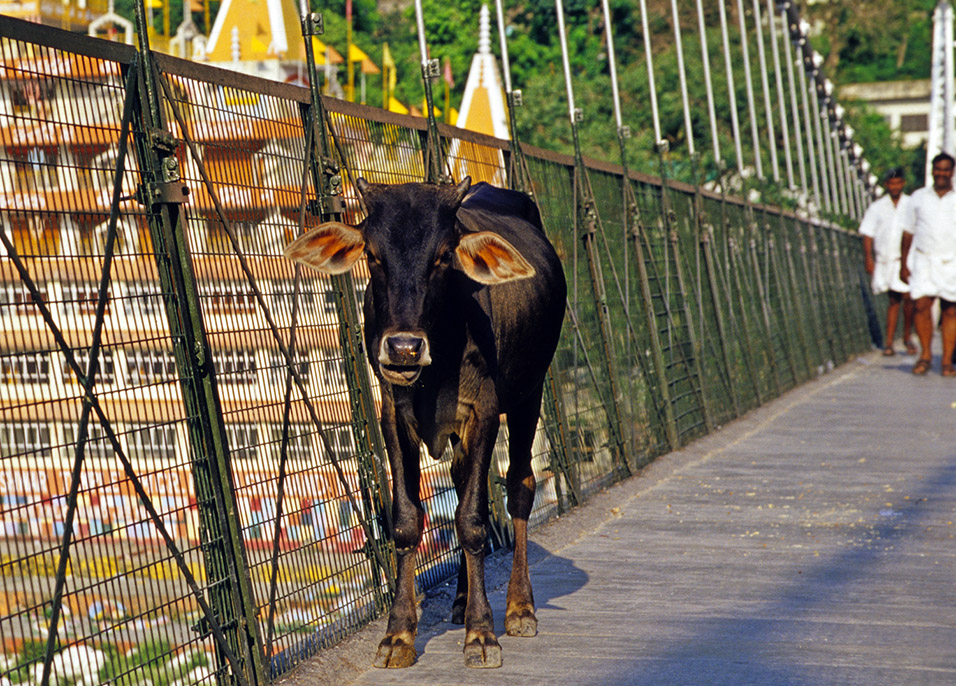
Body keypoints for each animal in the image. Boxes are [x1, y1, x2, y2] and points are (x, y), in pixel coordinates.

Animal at [284, 179, 568, 672]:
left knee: (519, 487)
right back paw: (460, 600)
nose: (403, 348)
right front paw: (397, 634)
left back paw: (519, 607)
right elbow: (406, 521)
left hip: (530, 395)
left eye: (444, 255)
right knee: (461, 482)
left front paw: (482, 634)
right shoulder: (393, 416)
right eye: (373, 255)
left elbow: (472, 521)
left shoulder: (484, 411)